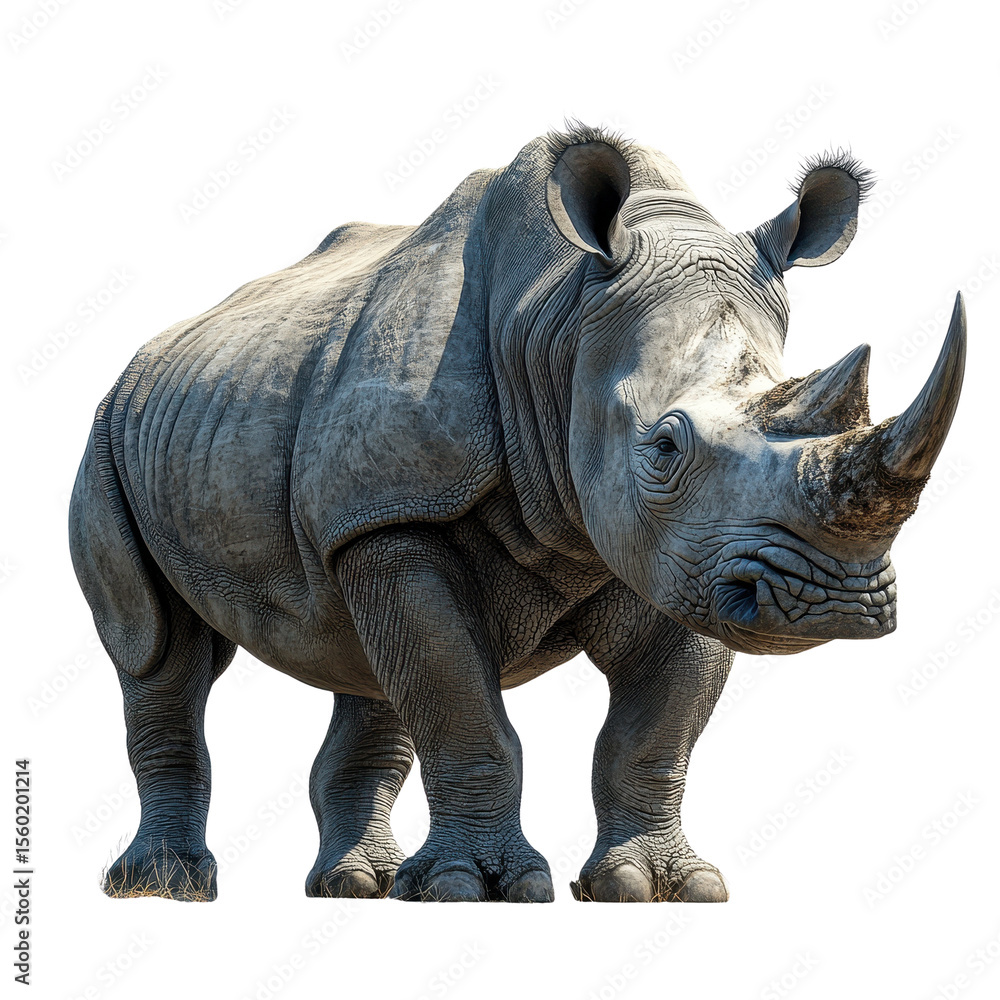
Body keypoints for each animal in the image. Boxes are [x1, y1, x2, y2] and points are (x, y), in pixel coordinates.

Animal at [70, 123, 966, 903]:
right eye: (664, 446)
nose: (832, 599)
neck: (557, 322)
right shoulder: (406, 510)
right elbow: (461, 704)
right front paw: (481, 890)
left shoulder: (688, 555)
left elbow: (652, 733)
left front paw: (657, 887)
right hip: (108, 436)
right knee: (159, 648)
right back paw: (167, 887)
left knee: (365, 660)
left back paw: (361, 885)